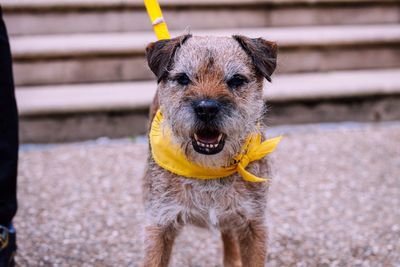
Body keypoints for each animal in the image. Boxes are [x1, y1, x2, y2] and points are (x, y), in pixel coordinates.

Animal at [142, 34, 276, 267]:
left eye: (236, 80)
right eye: (183, 79)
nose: (206, 109)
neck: (208, 169)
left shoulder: (254, 225)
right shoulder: (159, 225)